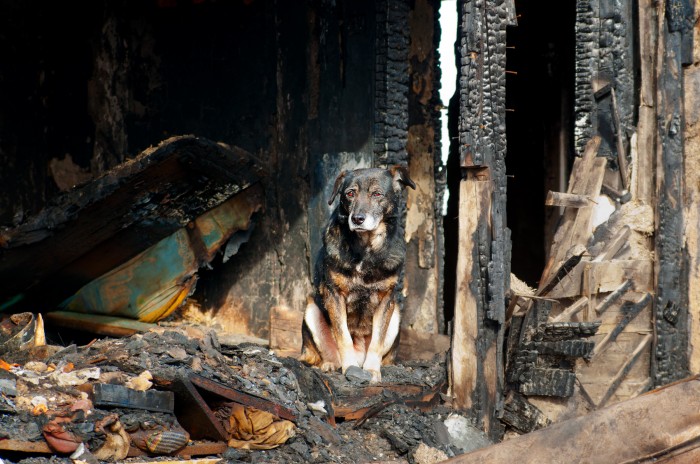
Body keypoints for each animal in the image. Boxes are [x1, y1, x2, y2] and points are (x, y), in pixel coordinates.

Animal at [298, 165, 412, 382]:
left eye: (377, 194)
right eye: (350, 194)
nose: (357, 219)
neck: (366, 250)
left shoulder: (387, 299)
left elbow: (377, 340)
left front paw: (372, 371)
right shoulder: (334, 295)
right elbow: (343, 336)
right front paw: (349, 366)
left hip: (396, 316)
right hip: (311, 311)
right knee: (320, 354)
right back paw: (330, 365)